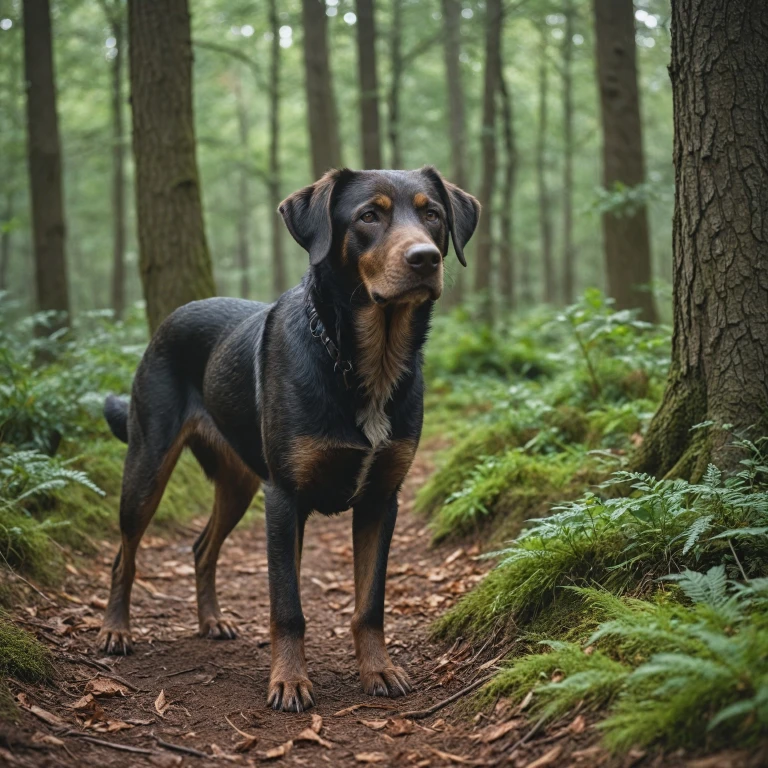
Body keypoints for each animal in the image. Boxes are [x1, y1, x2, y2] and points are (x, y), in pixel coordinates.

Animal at [98, 165, 476, 712]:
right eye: (369, 216)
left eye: (434, 216)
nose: (425, 258)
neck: (369, 364)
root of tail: (168, 320)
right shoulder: (284, 497)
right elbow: (287, 606)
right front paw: (290, 682)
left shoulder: (381, 499)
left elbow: (370, 604)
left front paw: (378, 671)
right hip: (149, 464)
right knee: (123, 554)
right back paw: (115, 630)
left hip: (238, 483)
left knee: (202, 547)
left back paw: (212, 621)